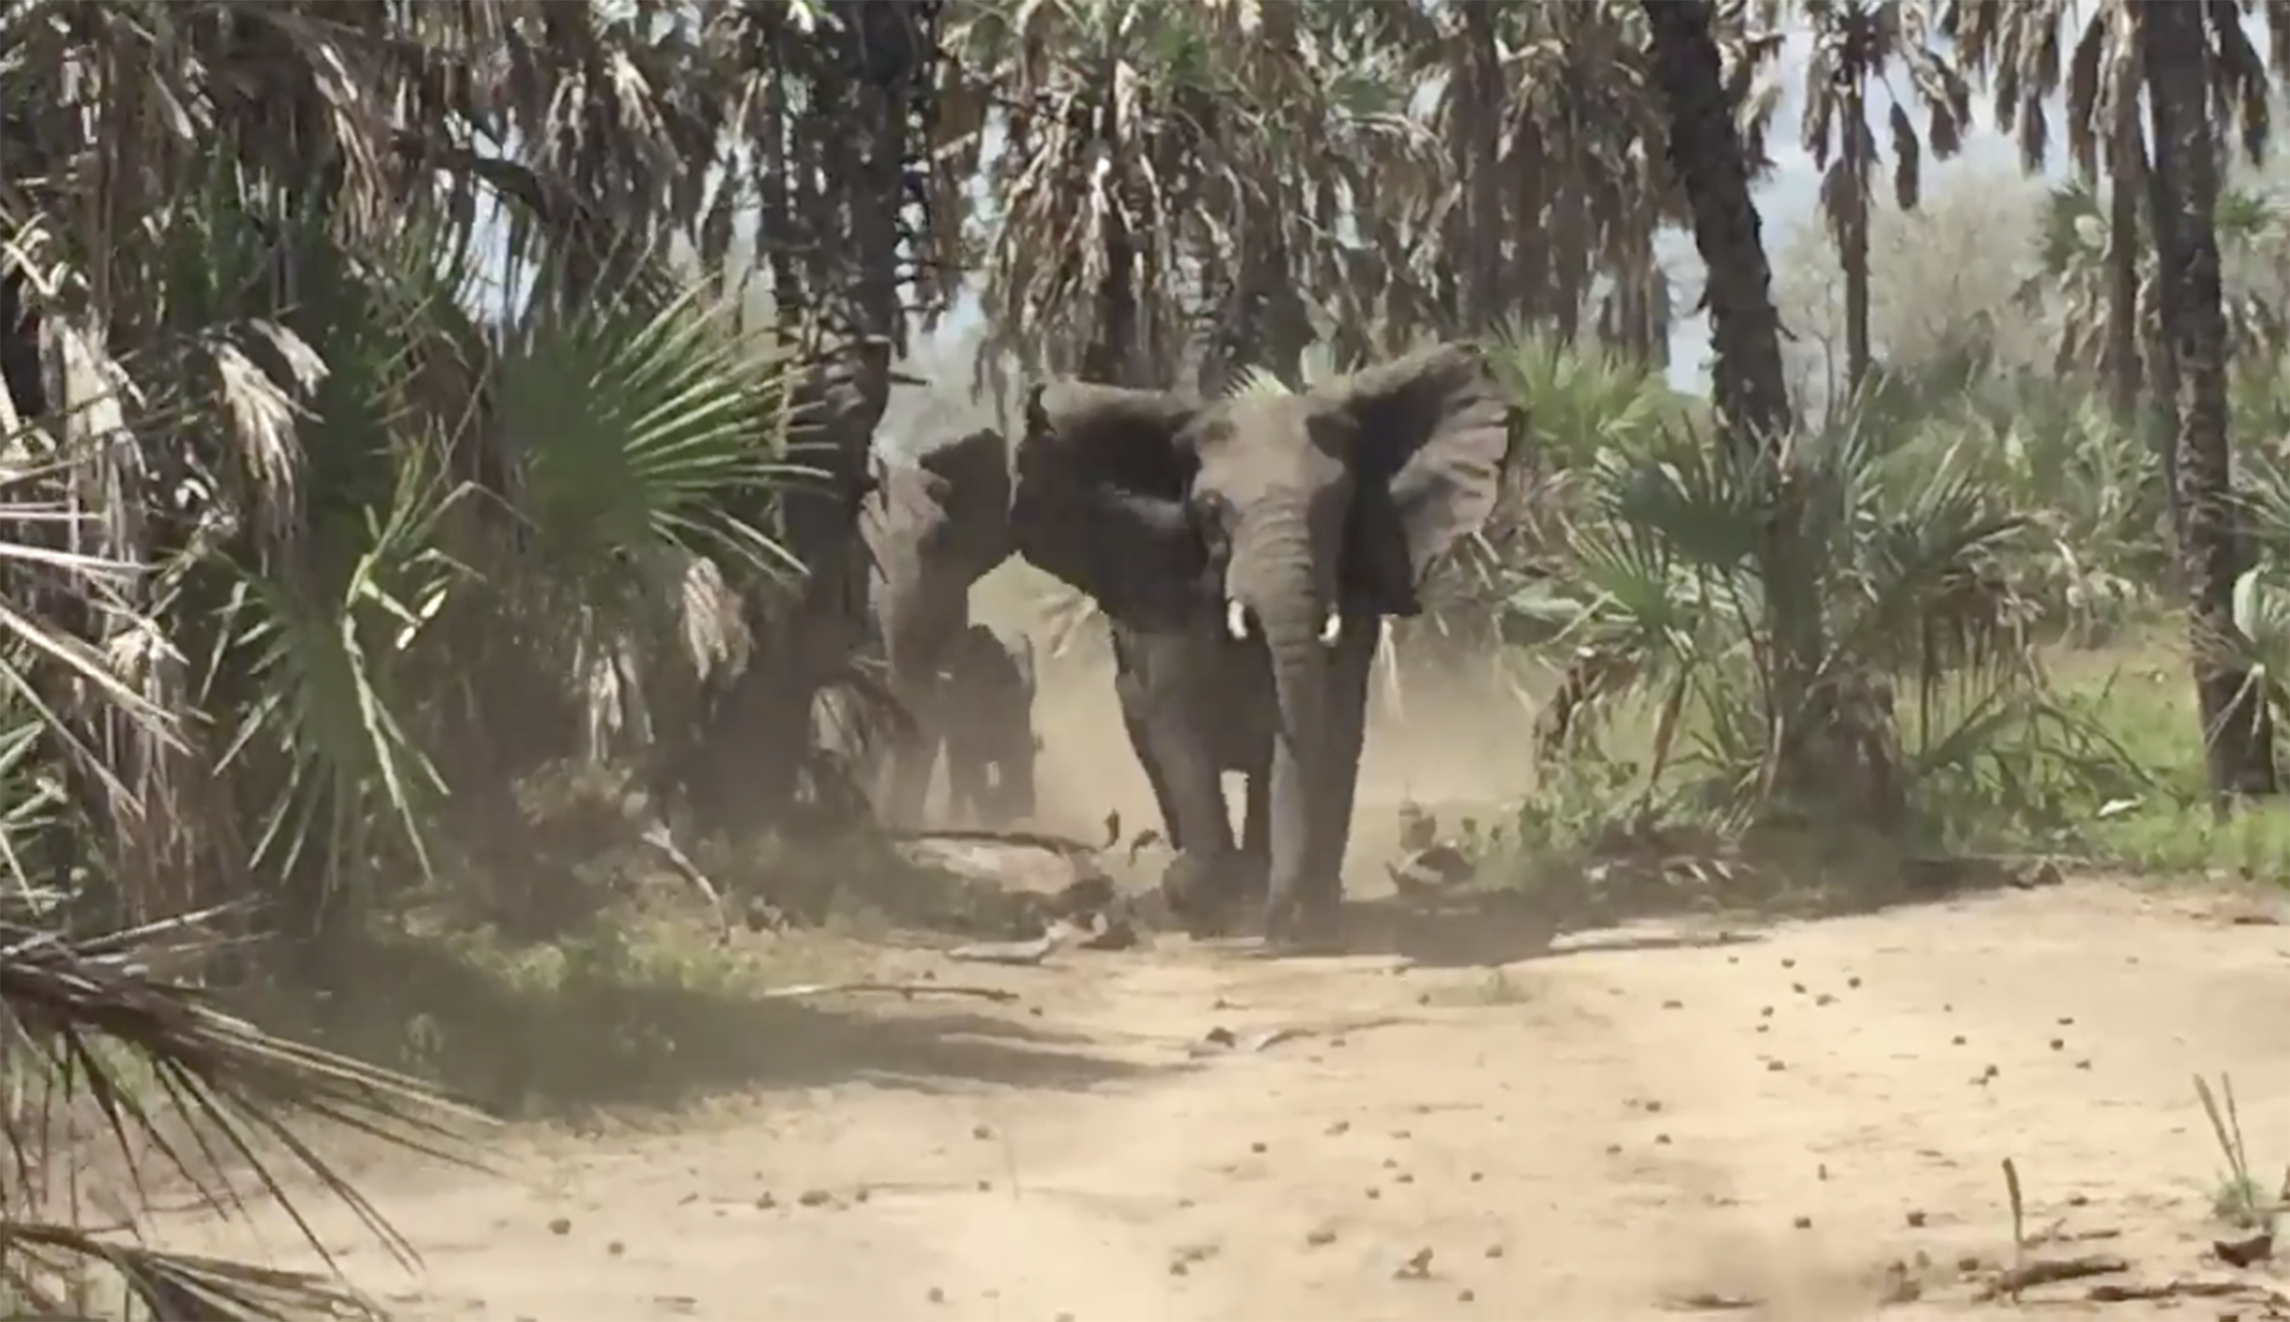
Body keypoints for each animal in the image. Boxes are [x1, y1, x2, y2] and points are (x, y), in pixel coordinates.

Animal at [1010, 343, 1512, 945]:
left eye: (1337, 504)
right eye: (1210, 511)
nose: (1276, 929)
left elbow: (1325, 727)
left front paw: (1303, 910)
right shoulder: (1169, 603)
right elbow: (1180, 727)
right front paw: (1196, 896)